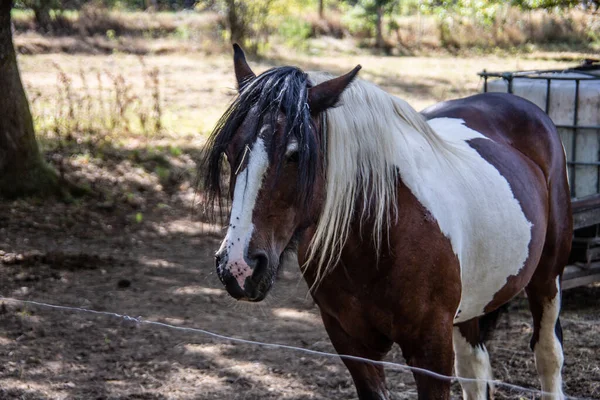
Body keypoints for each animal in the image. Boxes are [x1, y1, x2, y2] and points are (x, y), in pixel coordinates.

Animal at [204, 45, 576, 398]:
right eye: (230, 151)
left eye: (294, 154)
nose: (238, 267)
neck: (379, 237)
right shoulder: (352, 345)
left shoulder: (431, 352)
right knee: (475, 370)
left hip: (547, 278)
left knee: (548, 355)